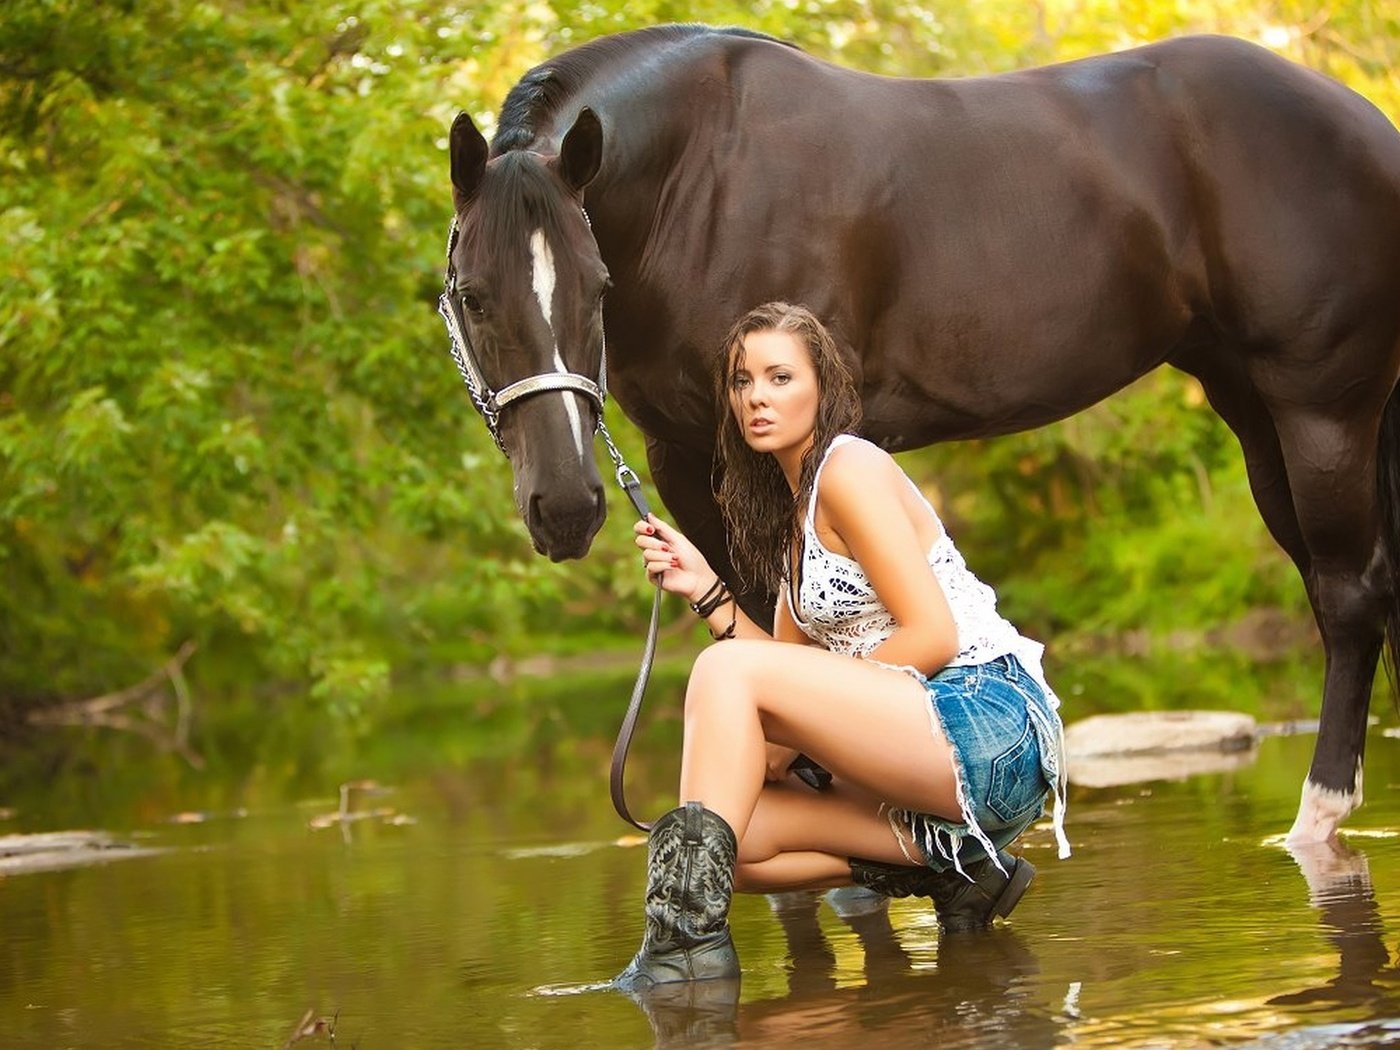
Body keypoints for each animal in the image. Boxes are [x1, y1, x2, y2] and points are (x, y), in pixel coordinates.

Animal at [442, 24, 1400, 845]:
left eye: (596, 286)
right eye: (473, 295)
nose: (567, 507)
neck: (705, 178)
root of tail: (1365, 124)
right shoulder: (689, 460)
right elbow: (756, 629)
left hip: (1321, 410)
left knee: (1349, 598)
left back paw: (1315, 821)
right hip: (1255, 413)